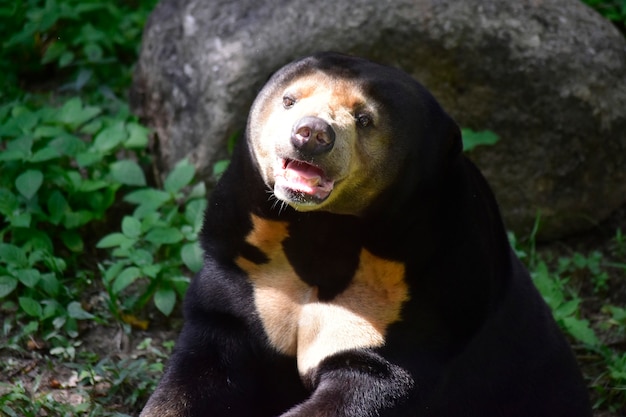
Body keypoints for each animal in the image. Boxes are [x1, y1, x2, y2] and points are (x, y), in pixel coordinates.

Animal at [138, 52, 588, 416]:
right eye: (289, 100)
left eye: (364, 119)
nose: (311, 134)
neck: (322, 229)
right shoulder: (243, 273)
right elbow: (200, 373)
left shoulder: (427, 298)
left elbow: (371, 383)